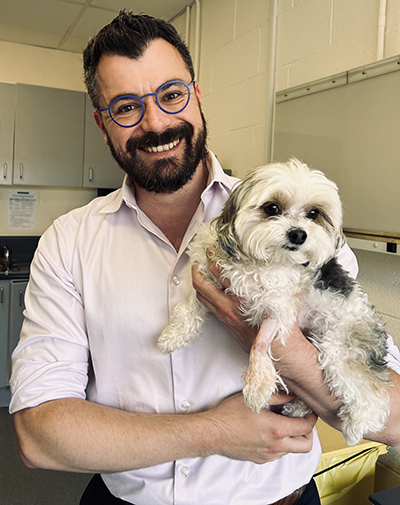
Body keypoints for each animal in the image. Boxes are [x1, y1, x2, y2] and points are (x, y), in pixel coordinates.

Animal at [157, 158, 390, 444]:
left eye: (314, 214)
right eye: (272, 208)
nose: (298, 234)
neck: (258, 260)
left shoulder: (276, 307)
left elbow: (260, 344)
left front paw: (257, 383)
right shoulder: (209, 281)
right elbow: (190, 308)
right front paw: (174, 335)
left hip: (340, 346)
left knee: (372, 394)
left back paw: (357, 424)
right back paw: (298, 406)